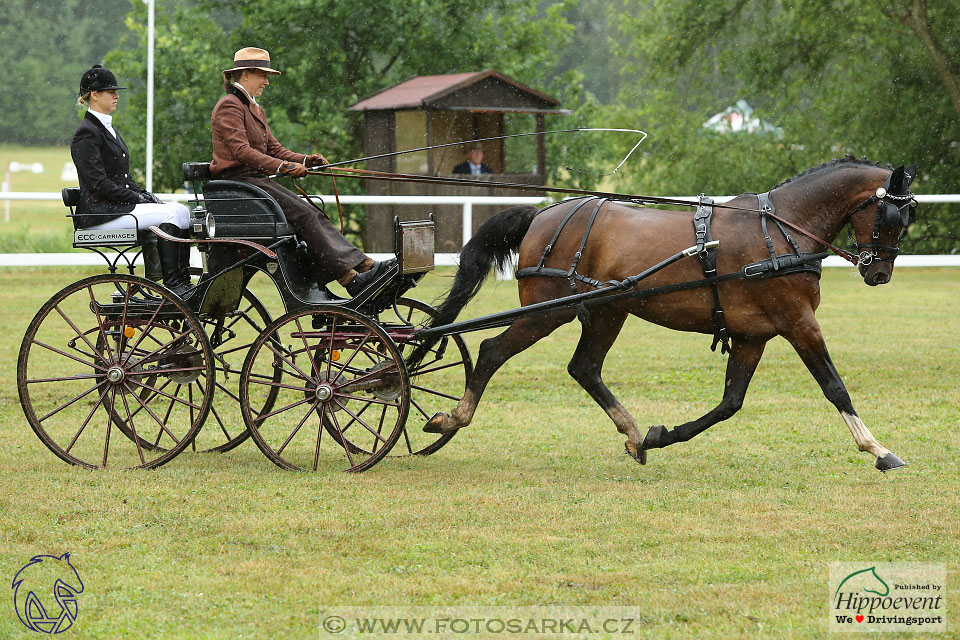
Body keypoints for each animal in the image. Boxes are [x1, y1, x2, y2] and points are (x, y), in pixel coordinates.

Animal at [416, 158, 920, 472]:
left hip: (606, 312)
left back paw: (634, 434)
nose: (879, 273)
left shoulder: (752, 335)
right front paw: (878, 449)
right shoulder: (798, 322)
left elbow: (729, 403)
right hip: (546, 313)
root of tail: (542, 216)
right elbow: (834, 386)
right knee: (491, 350)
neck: (780, 231)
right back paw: (451, 419)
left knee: (584, 368)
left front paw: (660, 435)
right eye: (890, 217)